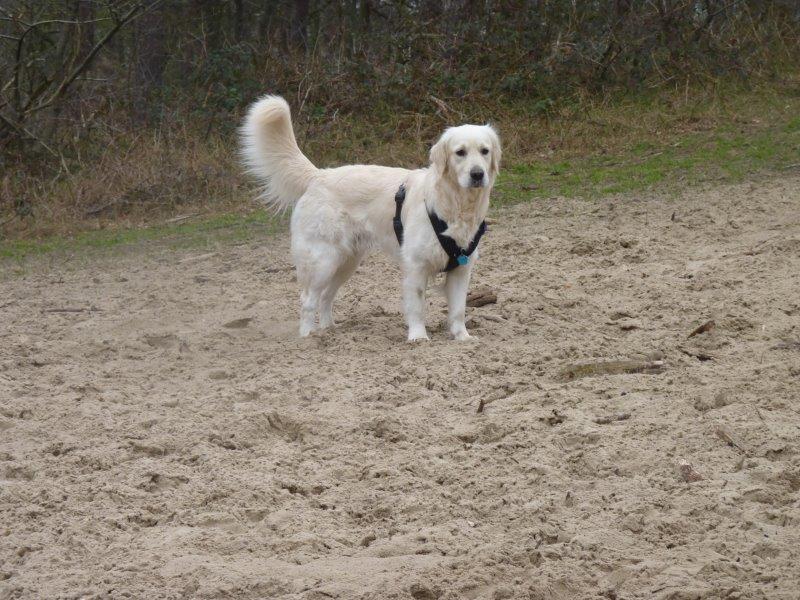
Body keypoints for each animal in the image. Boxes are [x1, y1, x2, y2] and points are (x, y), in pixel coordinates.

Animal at [239, 95, 500, 340]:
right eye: (460, 153)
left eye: (485, 151)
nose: (478, 174)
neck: (456, 204)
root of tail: (319, 176)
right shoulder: (416, 265)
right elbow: (417, 306)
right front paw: (418, 337)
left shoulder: (461, 269)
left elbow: (458, 309)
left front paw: (462, 337)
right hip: (323, 260)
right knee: (308, 300)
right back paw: (308, 337)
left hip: (347, 261)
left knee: (326, 296)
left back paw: (328, 330)